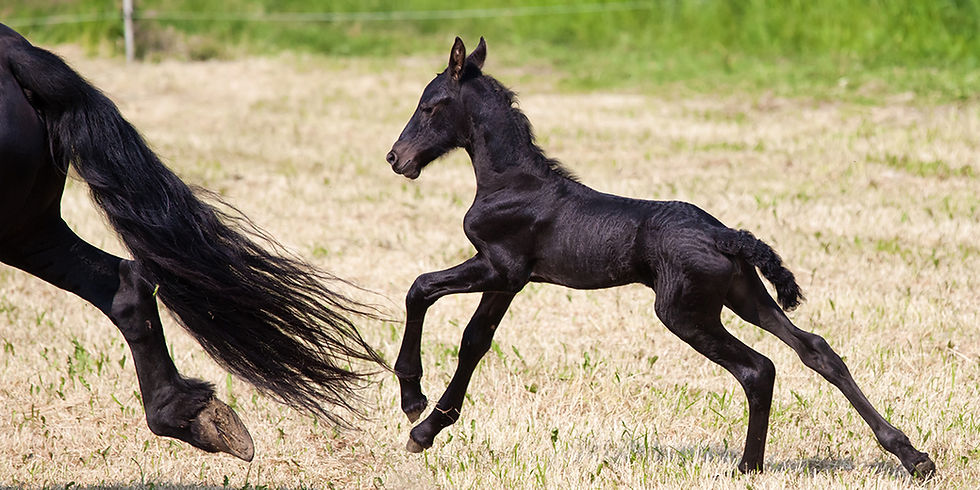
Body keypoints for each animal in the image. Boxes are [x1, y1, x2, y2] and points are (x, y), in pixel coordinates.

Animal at [384, 37, 935, 479]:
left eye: (430, 106)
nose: (396, 158)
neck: (512, 183)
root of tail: (726, 235)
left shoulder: (500, 267)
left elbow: (420, 288)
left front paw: (414, 403)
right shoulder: (508, 281)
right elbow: (475, 342)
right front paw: (428, 429)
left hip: (683, 311)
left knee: (759, 368)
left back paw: (747, 466)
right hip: (744, 296)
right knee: (815, 350)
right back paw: (910, 456)